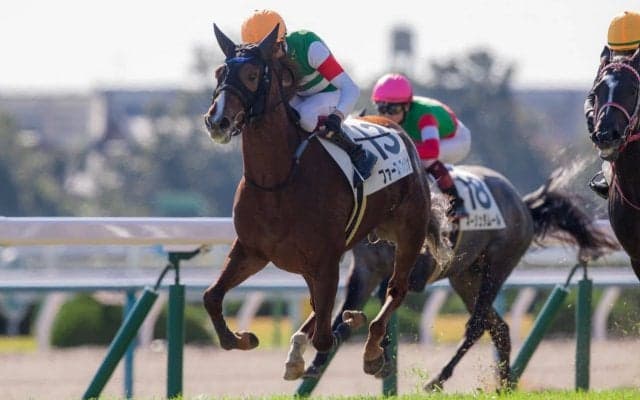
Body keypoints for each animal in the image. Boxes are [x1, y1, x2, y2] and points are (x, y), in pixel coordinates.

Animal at [202, 24, 443, 378]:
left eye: (251, 74)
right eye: (219, 72)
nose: (216, 121)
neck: (278, 181)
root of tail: (396, 128)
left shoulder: (326, 259)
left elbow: (326, 338)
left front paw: (355, 331)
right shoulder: (252, 251)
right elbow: (212, 297)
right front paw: (243, 337)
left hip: (409, 233)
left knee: (395, 290)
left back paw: (371, 348)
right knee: (322, 306)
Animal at [297, 165, 618, 392]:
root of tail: (522, 203)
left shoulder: (411, 269)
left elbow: (383, 302)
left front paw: (379, 355)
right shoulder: (365, 269)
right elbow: (342, 312)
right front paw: (316, 362)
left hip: (497, 266)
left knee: (476, 326)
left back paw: (439, 378)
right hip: (465, 278)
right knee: (498, 328)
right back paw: (504, 385)